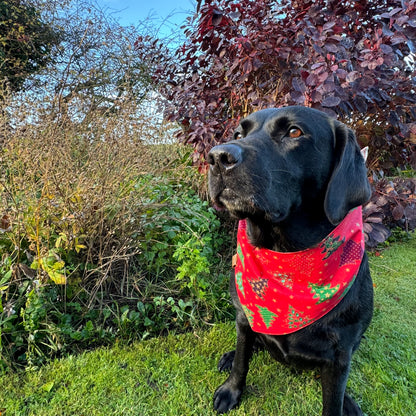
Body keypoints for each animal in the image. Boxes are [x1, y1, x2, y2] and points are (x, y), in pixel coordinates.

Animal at [208, 107, 374, 416]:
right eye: (238, 133)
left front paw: (342, 401)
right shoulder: (244, 317)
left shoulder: (340, 353)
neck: (284, 258)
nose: (217, 157)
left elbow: (333, 398)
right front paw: (231, 389)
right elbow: (242, 361)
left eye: (294, 132)